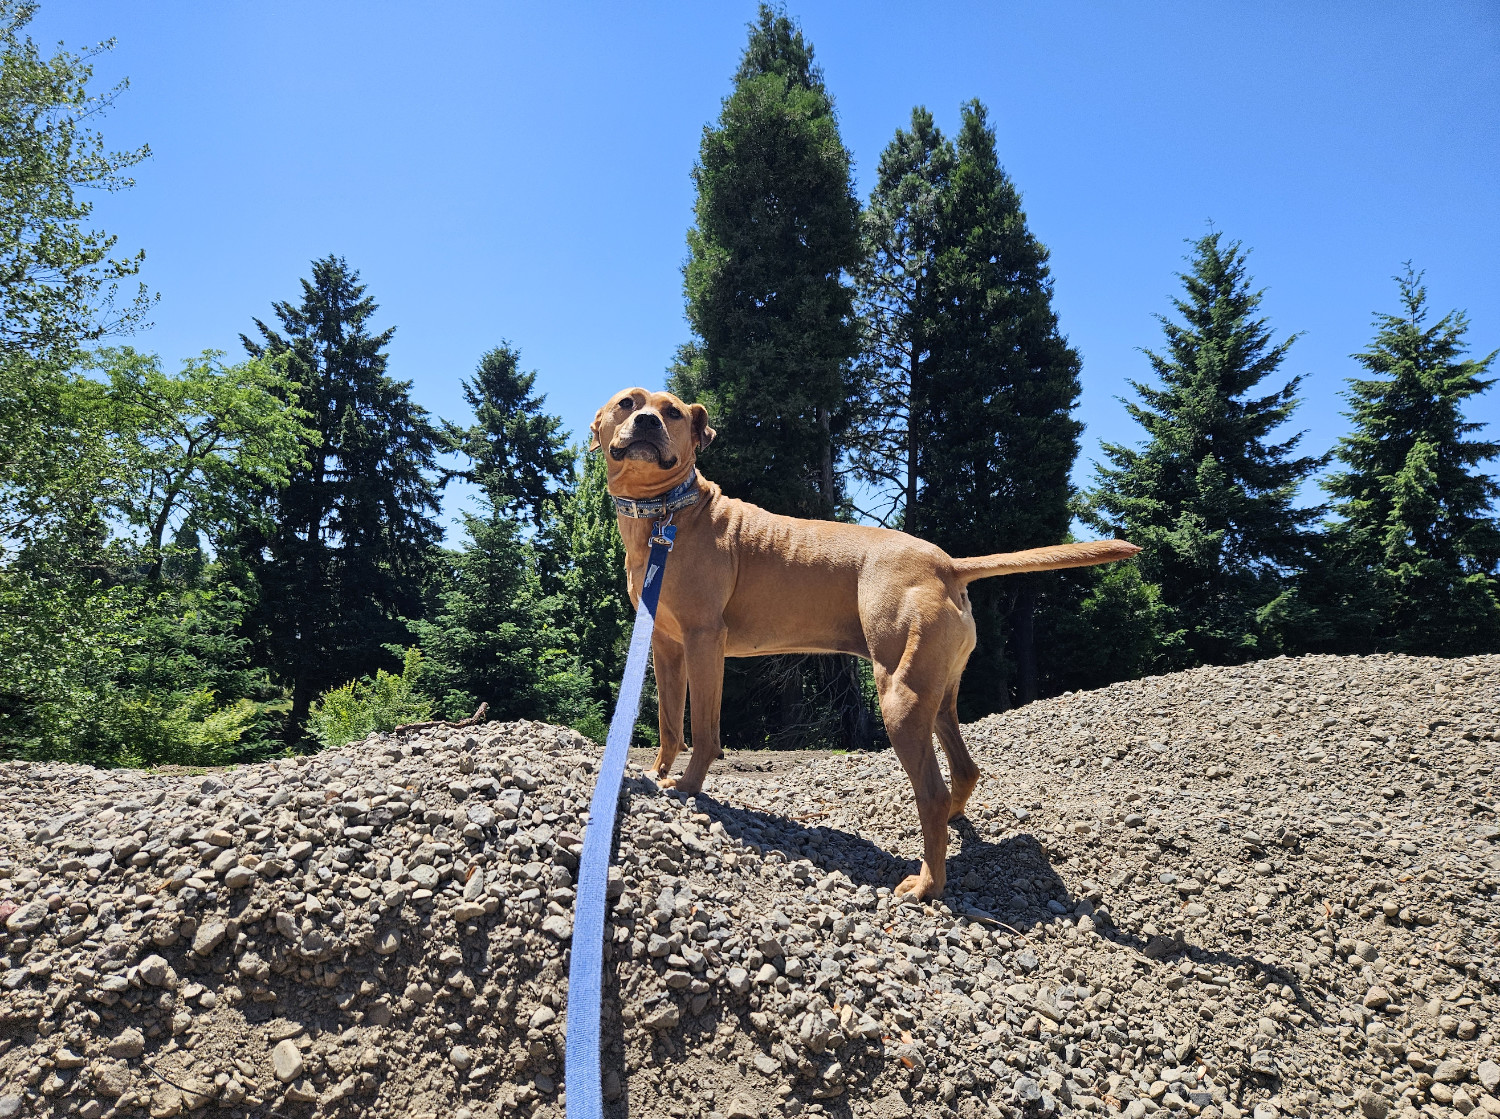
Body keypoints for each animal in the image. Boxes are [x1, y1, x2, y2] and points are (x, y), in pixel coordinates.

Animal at [591, 387, 1128, 894]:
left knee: (930, 792)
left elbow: (703, 731)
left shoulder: (705, 640)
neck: (663, 515)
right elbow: (668, 723)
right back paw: (954, 824)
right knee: (964, 769)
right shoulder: (666, 645)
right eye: (628, 402)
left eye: (673, 412)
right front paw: (659, 772)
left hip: (899, 696)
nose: (647, 421)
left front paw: (686, 787)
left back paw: (926, 885)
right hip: (938, 694)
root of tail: (948, 563)